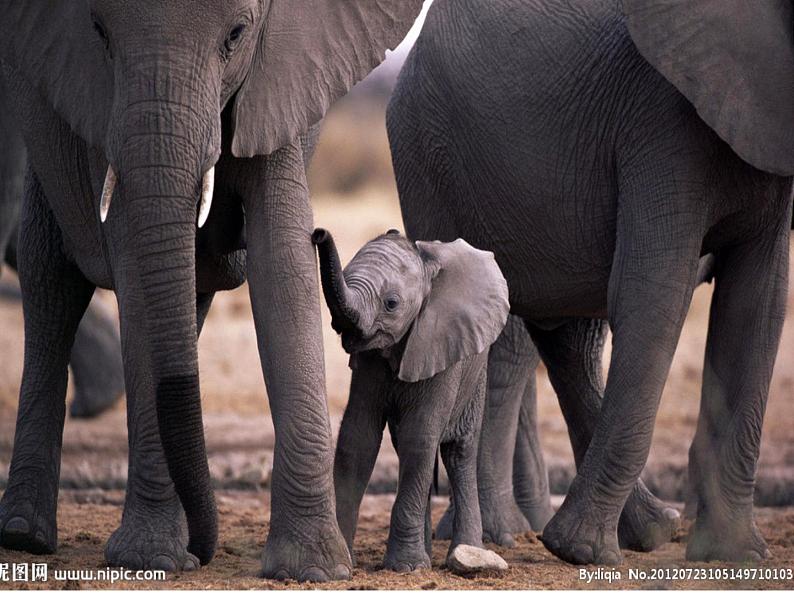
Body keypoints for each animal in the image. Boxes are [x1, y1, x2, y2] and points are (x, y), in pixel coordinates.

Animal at [0, 0, 424, 580]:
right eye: (99, 33)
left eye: (237, 34)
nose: (203, 552)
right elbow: (136, 267)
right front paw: (149, 559)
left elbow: (283, 264)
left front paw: (312, 570)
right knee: (51, 280)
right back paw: (26, 536)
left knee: (186, 292)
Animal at [310, 227, 508, 572]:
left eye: (391, 304)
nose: (318, 233)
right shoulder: (369, 362)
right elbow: (357, 439)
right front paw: (347, 559)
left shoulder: (440, 344)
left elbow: (420, 437)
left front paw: (405, 567)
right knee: (407, 448)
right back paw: (428, 553)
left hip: (476, 373)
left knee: (458, 452)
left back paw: (465, 552)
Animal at [386, 0, 792, 564]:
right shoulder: (660, 121)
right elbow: (653, 297)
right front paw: (577, 551)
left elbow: (756, 307)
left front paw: (733, 555)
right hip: (428, 154)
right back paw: (519, 540)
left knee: (568, 337)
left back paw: (650, 530)